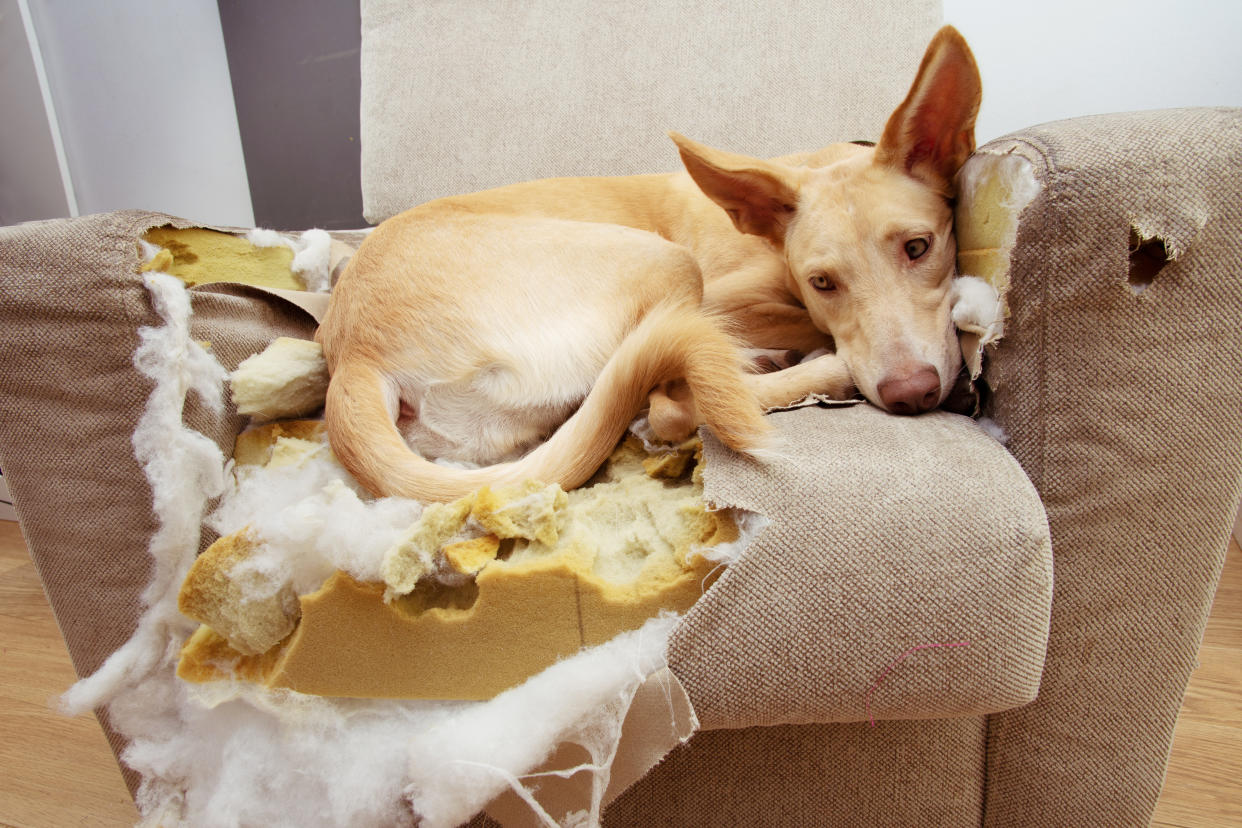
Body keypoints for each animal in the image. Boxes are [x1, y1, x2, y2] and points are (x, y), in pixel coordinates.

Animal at [317, 25, 978, 501]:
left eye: (918, 248)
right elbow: (791, 330)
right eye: (823, 283)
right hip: (668, 262)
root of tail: (355, 354)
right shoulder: (725, 297)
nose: (911, 395)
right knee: (672, 404)